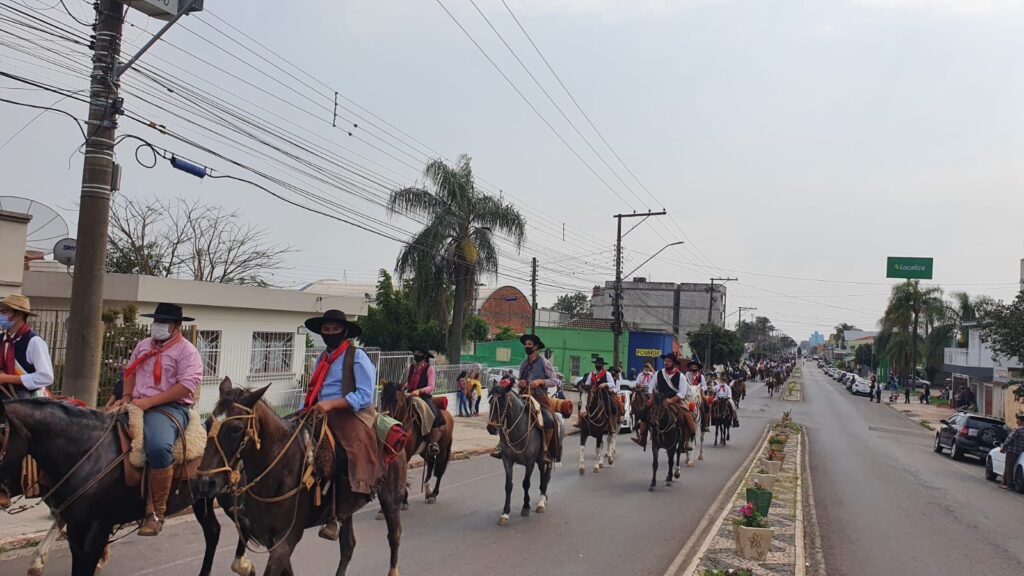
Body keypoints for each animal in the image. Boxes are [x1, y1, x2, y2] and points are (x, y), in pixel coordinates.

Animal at [195, 377, 407, 573]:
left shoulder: (286, 539)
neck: (279, 466)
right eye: (208, 423)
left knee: (395, 535)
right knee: (348, 546)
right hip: (346, 510)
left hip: (390, 498)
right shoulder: (272, 539)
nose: (205, 482)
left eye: (236, 428)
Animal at [485, 383, 552, 522]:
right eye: (490, 401)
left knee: (544, 475)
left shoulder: (530, 461)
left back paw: (541, 501)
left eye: (502, 401)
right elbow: (508, 486)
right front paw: (505, 512)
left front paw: (526, 506)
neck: (518, 429)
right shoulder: (507, 460)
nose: (491, 428)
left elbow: (526, 483)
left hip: (544, 458)